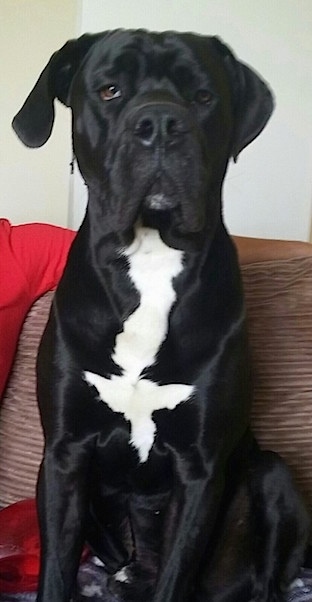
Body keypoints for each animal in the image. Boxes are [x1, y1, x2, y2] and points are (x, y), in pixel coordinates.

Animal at [12, 29, 310, 600]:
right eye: (109, 90)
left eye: (203, 96)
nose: (161, 124)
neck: (150, 255)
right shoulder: (63, 455)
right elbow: (56, 571)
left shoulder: (198, 470)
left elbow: (175, 573)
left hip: (272, 475)